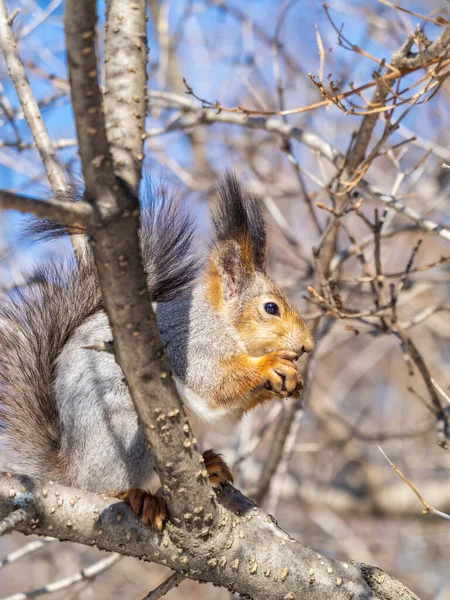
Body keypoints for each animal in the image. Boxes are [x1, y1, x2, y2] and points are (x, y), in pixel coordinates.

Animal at [0, 172, 314, 528]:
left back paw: (209, 465)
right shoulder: (190, 344)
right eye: (271, 308)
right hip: (129, 436)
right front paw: (270, 365)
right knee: (113, 486)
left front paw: (291, 380)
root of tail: (74, 470)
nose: (307, 345)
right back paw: (139, 497)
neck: (223, 322)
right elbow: (214, 383)